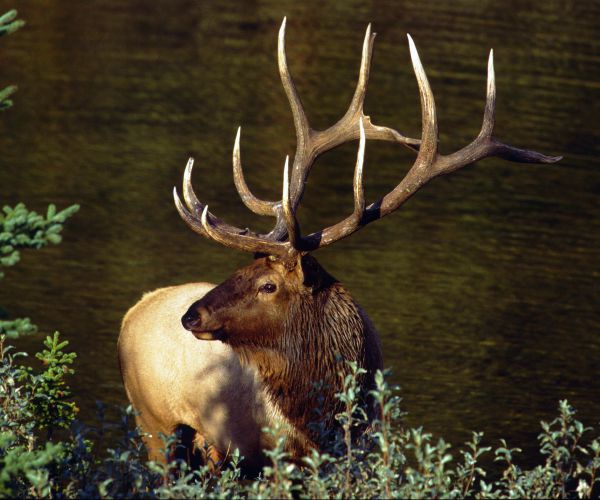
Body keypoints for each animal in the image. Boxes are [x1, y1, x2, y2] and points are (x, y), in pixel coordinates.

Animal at [118, 18, 561, 475]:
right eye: (239, 271)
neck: (326, 416)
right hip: (155, 424)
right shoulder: (268, 453)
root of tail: (133, 311)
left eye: (267, 284)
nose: (191, 316)